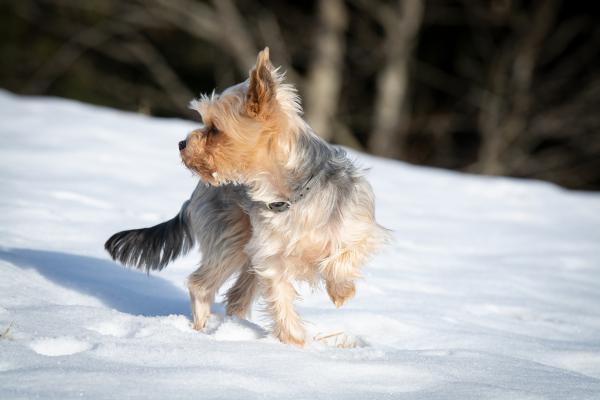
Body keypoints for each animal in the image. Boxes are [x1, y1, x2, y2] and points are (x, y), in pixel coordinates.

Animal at [105, 47, 390, 346]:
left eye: (215, 129)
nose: (182, 144)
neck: (293, 195)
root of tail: (196, 192)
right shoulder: (271, 257)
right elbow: (280, 296)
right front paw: (294, 343)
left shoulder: (360, 226)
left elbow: (345, 254)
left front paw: (340, 291)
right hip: (232, 236)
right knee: (201, 284)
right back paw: (200, 332)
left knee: (236, 296)